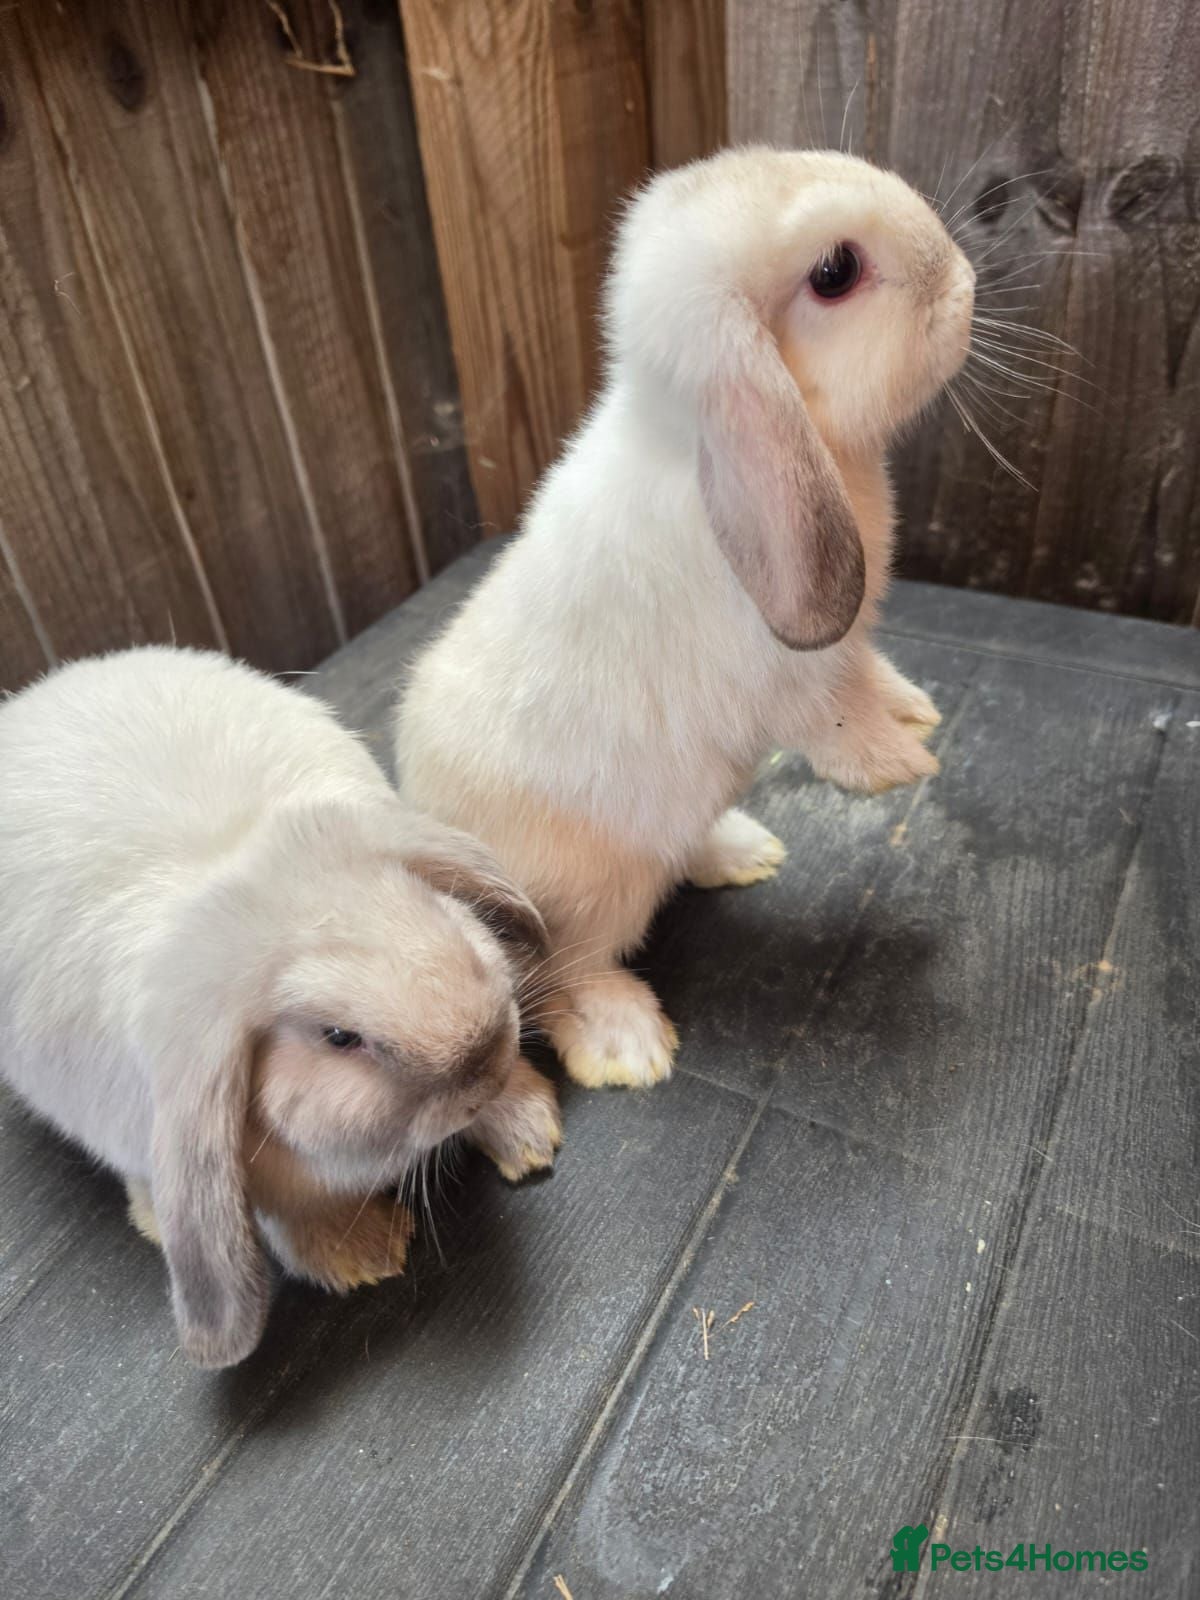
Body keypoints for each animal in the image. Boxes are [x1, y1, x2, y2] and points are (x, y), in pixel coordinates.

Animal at [0, 647, 561, 1367]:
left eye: (433, 908)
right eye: (339, 1037)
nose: (486, 1058)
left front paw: (528, 1127)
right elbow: (286, 1218)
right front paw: (366, 1255)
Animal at [395, 146, 975, 1092]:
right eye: (835, 273)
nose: (964, 282)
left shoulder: (847, 646)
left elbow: (869, 672)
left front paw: (915, 709)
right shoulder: (789, 677)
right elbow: (834, 720)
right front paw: (898, 764)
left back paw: (741, 851)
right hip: (590, 898)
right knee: (570, 974)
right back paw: (626, 1044)